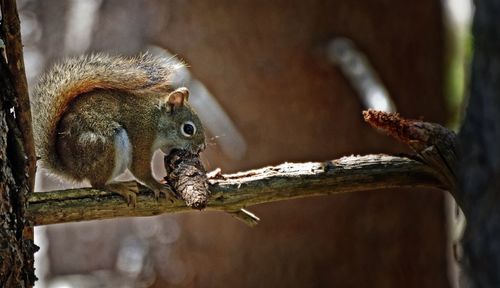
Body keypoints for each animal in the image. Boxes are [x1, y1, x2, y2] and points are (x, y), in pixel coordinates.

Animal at [31, 53, 207, 202]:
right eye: (188, 129)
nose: (202, 148)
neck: (156, 120)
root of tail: (72, 169)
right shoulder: (141, 136)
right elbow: (140, 169)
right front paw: (157, 185)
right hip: (105, 144)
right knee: (97, 183)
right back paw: (119, 187)